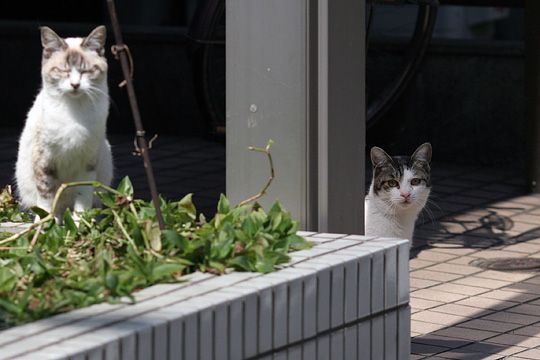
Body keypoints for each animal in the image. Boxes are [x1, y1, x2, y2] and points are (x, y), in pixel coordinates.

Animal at [16, 26, 113, 218]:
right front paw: (47, 225)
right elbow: (46, 201)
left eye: (85, 71)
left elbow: (83, 200)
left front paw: (79, 224)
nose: (75, 85)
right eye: (63, 70)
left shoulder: (88, 162)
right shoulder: (44, 160)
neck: (74, 111)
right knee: (56, 207)